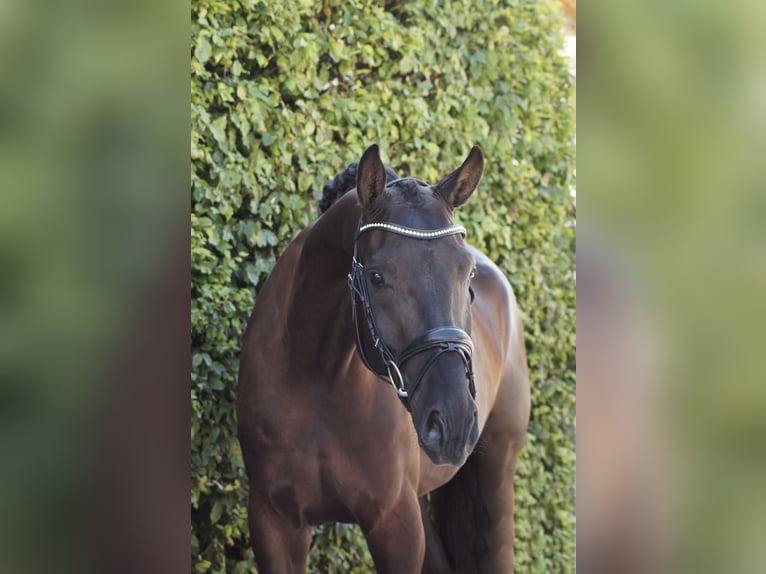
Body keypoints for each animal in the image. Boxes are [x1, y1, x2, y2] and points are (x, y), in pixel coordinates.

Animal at [237, 146, 532, 572]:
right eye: (376, 277)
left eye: (468, 275)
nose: (454, 422)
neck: (315, 381)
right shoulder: (273, 521)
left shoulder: (395, 524)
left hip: (495, 475)